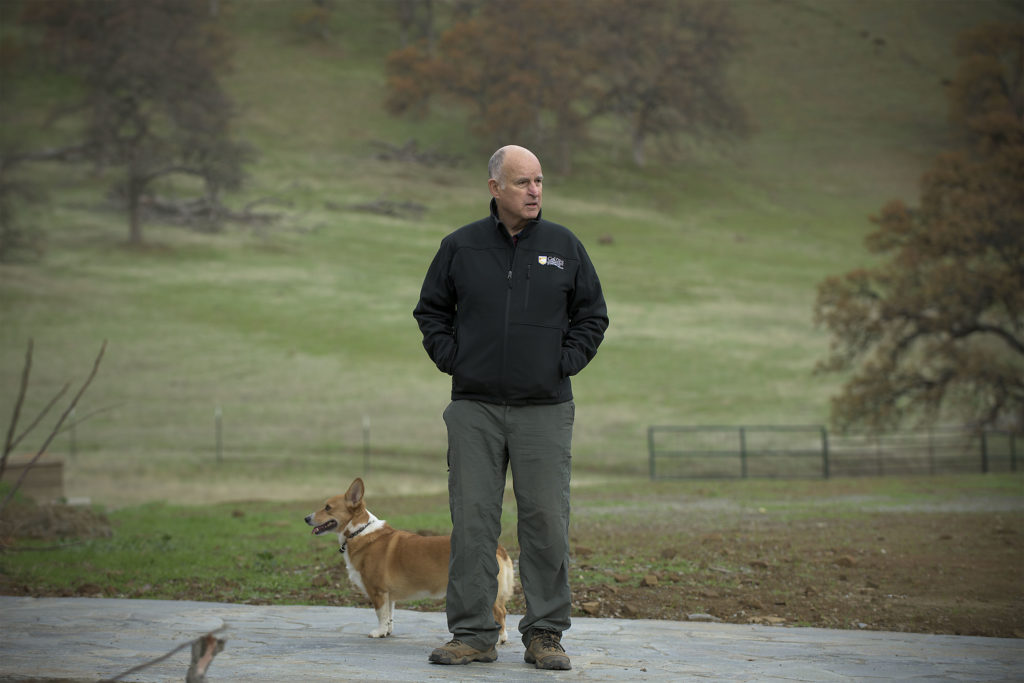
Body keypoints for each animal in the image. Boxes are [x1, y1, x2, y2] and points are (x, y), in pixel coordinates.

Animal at [301, 479, 512, 643]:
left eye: (327, 507)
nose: (306, 518)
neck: (359, 531)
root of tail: (498, 547)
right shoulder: (389, 595)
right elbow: (389, 615)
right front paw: (386, 631)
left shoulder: (377, 591)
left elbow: (380, 613)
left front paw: (378, 633)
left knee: (499, 612)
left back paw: (499, 638)